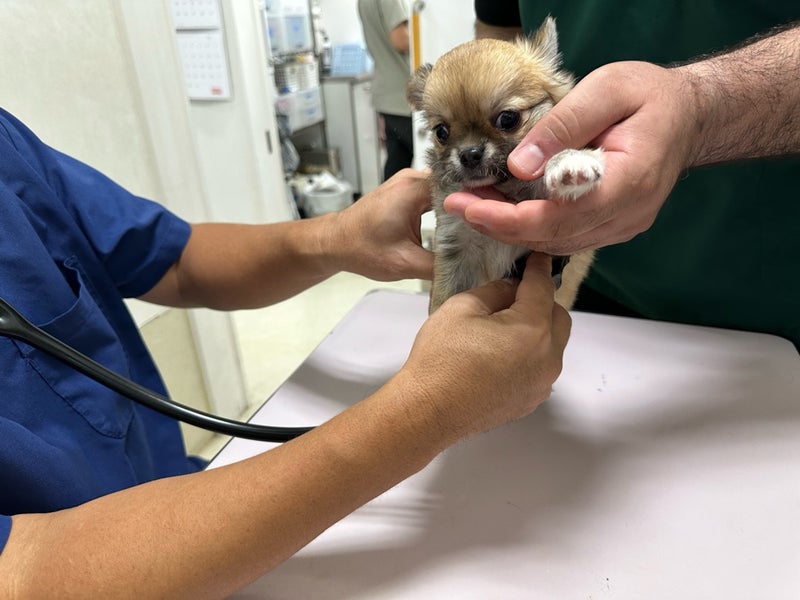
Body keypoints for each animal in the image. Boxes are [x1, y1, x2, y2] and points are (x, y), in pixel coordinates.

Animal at [407, 17, 604, 313]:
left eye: (508, 119)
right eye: (441, 132)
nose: (469, 154)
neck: (505, 186)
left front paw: (570, 161)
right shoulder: (456, 249)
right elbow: (443, 302)